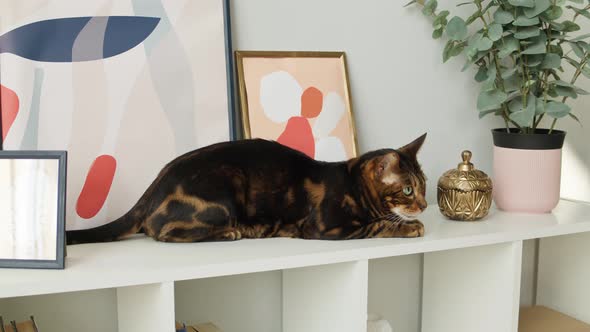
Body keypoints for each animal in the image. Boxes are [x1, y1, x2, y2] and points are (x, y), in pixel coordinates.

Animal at [67, 134, 428, 245]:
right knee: (162, 231)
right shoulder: (326, 227)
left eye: (423, 186)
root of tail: (154, 183)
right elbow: (377, 225)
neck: (351, 182)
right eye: (408, 190)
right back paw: (234, 232)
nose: (425, 206)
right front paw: (412, 227)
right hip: (226, 185)